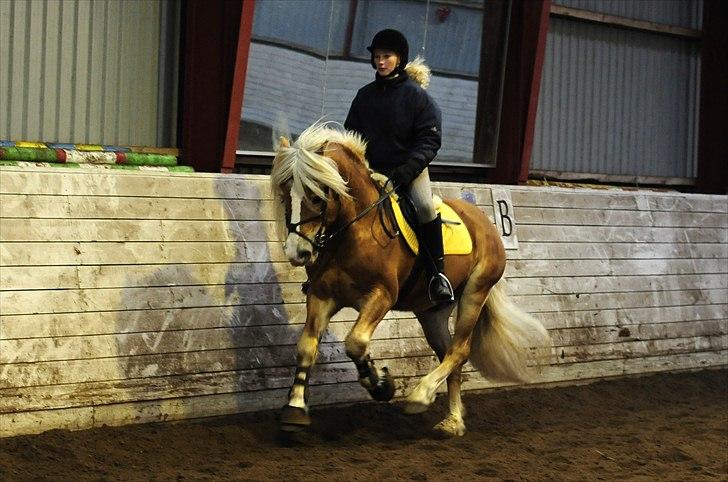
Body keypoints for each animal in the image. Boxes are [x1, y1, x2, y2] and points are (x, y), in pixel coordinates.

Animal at [270, 121, 548, 436]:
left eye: (317, 196)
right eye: (284, 194)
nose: (297, 252)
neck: (352, 233)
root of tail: (484, 223)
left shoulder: (381, 295)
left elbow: (356, 342)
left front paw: (380, 384)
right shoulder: (322, 294)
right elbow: (307, 347)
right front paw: (295, 408)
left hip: (475, 293)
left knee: (460, 350)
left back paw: (421, 396)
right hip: (431, 313)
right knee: (448, 354)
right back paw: (453, 420)